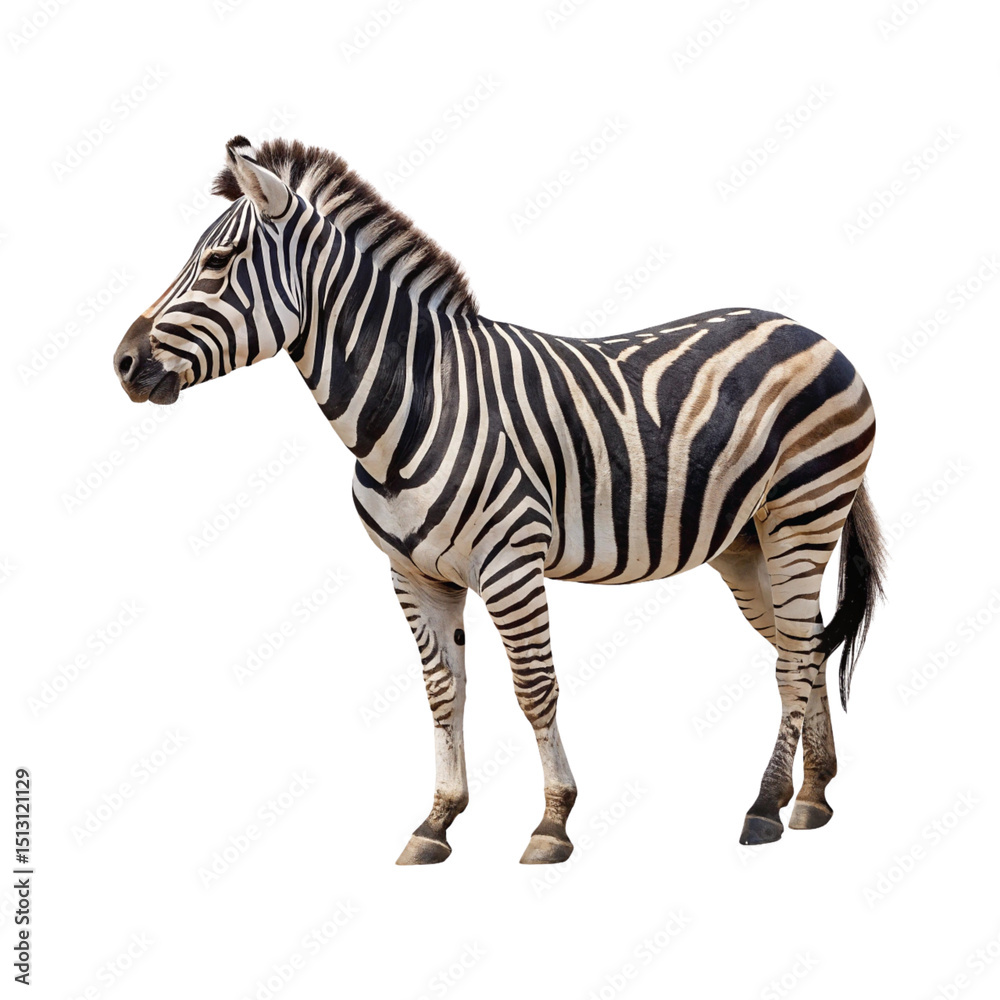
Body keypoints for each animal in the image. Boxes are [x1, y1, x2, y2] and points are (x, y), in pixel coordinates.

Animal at [113, 136, 885, 863]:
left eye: (218, 262)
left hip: (802, 514)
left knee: (792, 657)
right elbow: (444, 692)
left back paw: (764, 807)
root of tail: (811, 332)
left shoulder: (511, 563)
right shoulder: (413, 576)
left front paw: (552, 822)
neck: (413, 404)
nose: (122, 364)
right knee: (806, 645)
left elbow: (534, 687)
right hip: (746, 543)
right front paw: (437, 821)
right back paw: (810, 796)